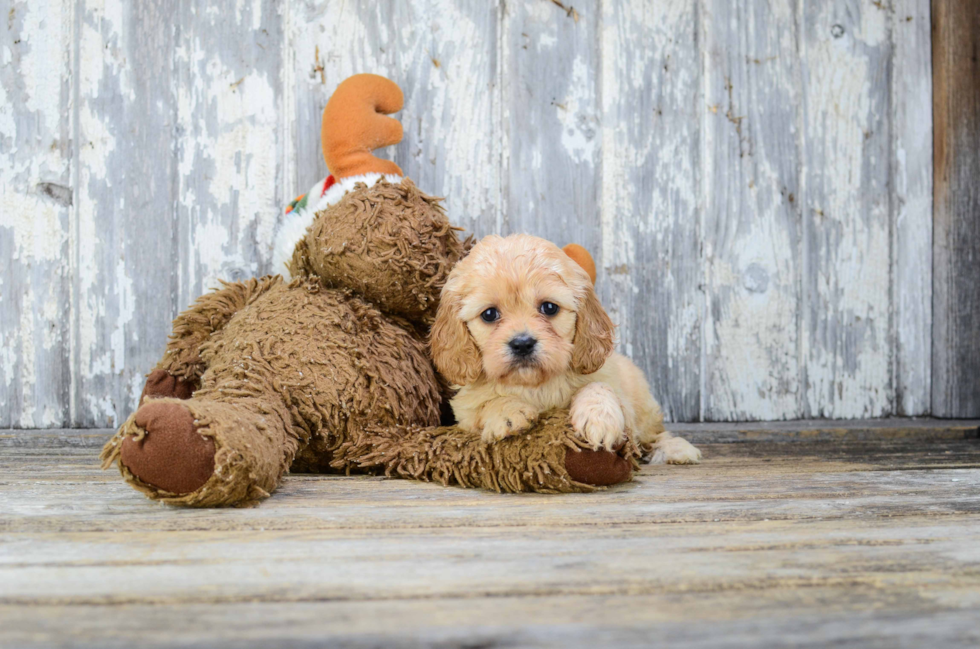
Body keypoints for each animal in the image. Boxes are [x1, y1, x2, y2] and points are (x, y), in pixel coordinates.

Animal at [428, 232, 696, 460]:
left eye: (549, 308)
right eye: (489, 314)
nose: (522, 344)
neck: (536, 385)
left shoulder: (618, 395)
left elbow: (599, 387)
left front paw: (598, 419)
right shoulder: (465, 412)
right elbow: (486, 403)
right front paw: (507, 412)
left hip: (646, 409)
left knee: (654, 435)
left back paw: (676, 449)